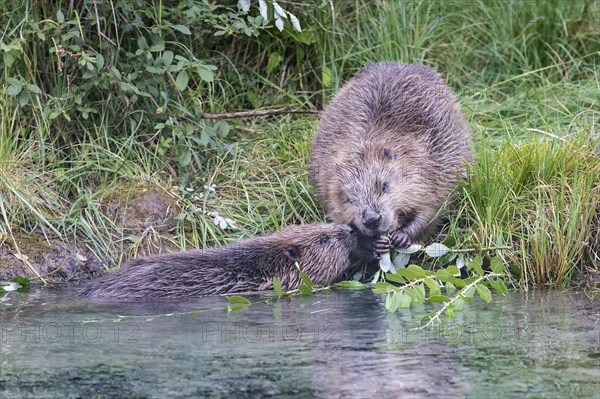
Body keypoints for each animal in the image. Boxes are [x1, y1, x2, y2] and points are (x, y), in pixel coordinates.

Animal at [310, 62, 474, 256]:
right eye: (349, 198)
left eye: (384, 186)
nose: (372, 219)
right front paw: (375, 243)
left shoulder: (433, 164)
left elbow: (431, 209)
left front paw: (401, 236)